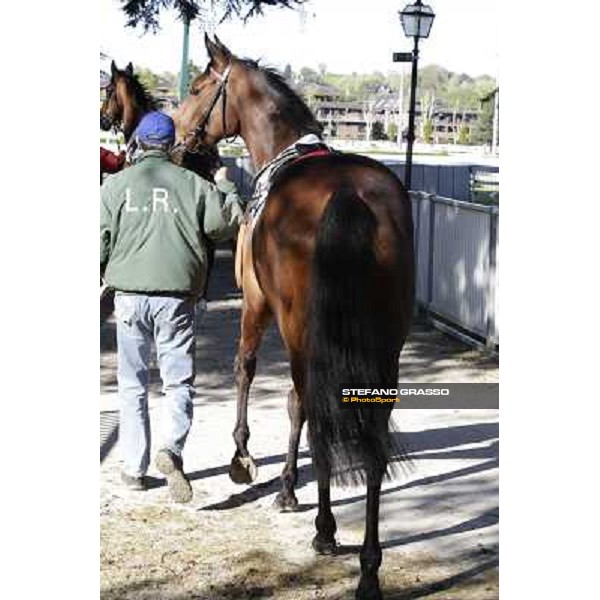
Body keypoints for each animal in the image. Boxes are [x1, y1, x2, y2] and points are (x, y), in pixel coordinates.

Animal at [176, 37, 414, 600]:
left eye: (197, 88)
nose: (176, 136)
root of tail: (350, 195)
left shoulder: (257, 303)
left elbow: (247, 372)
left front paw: (246, 462)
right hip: (386, 346)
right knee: (370, 443)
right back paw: (369, 567)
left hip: (300, 332)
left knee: (314, 414)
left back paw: (324, 530)